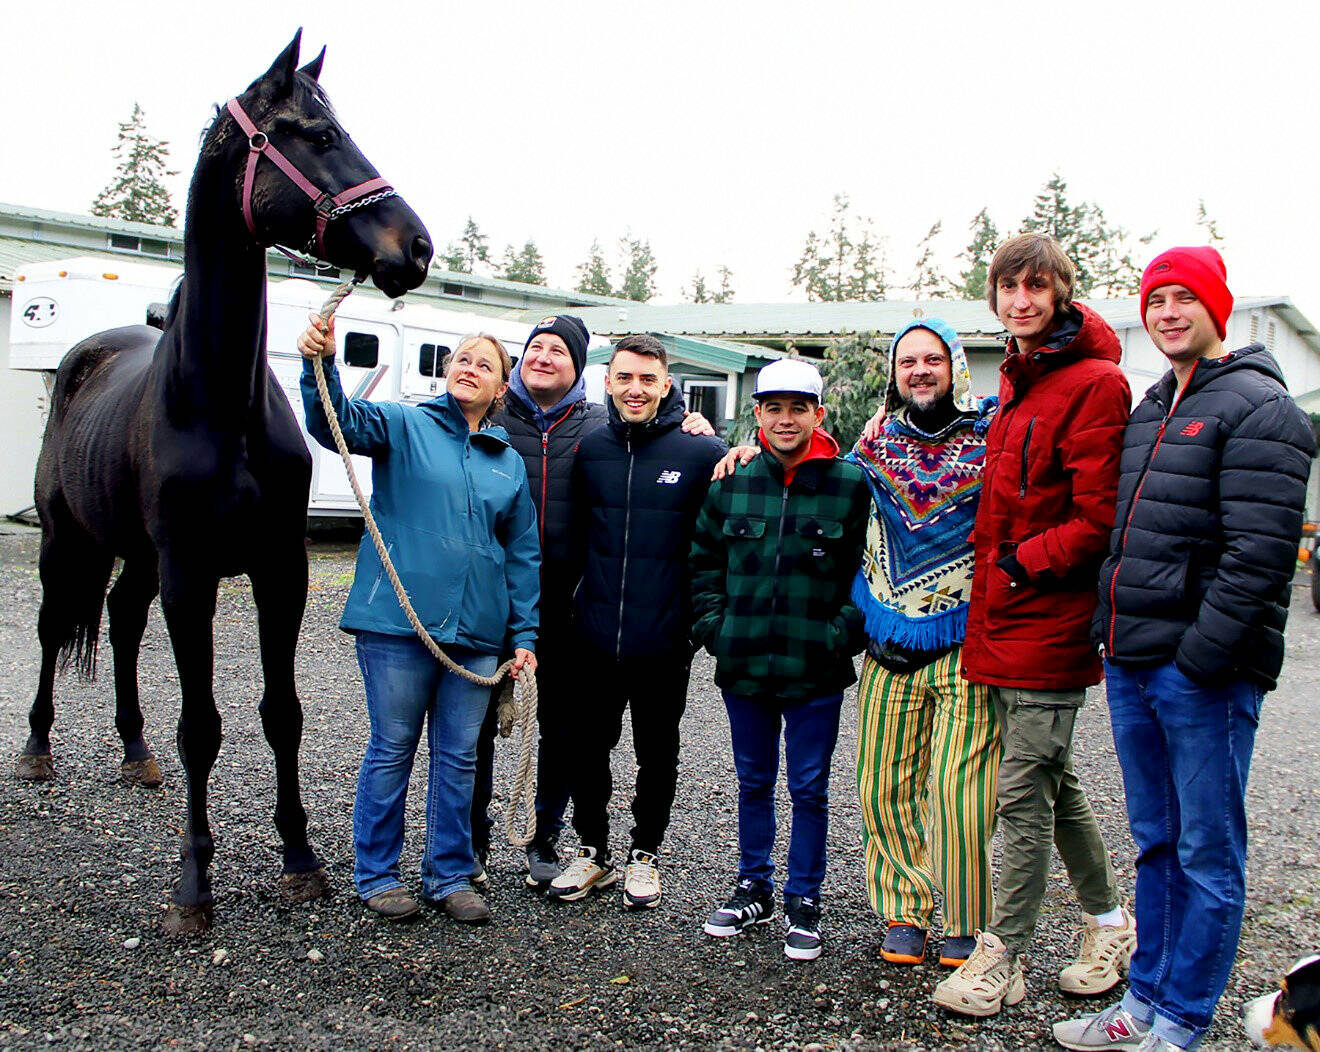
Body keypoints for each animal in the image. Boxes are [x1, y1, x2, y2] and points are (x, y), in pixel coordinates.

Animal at [18, 32, 430, 929]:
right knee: (52, 629)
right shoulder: (192, 575)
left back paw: (135, 751)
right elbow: (202, 726)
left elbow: (283, 714)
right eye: (315, 135)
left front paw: (301, 858)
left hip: (139, 559)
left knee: (121, 623)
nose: (414, 247)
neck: (222, 400)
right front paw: (192, 887)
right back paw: (35, 748)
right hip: (72, 542)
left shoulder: (281, 568)